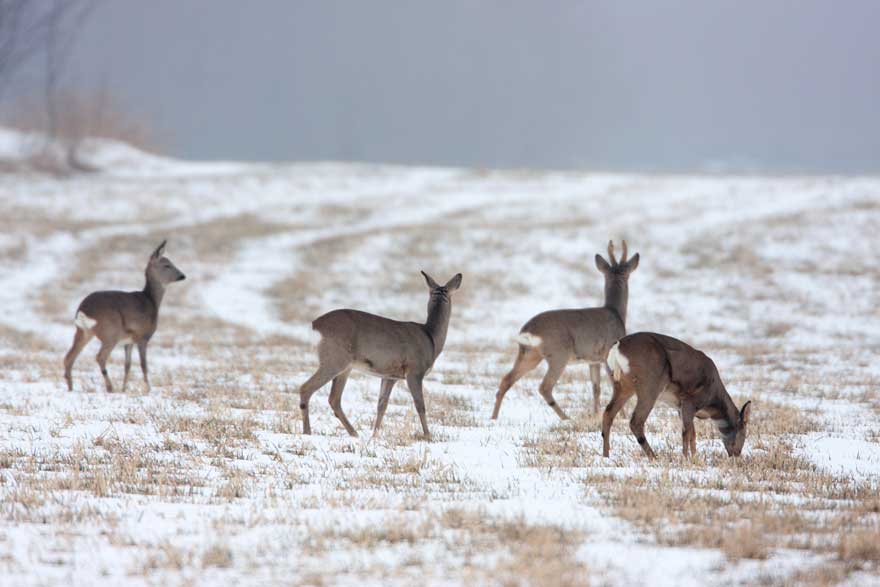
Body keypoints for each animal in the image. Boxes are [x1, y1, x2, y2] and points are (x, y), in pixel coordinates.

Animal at [62, 239, 187, 396]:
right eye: (167, 265)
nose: (182, 276)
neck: (151, 301)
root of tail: (83, 310)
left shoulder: (128, 341)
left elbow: (127, 365)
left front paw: (124, 389)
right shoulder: (142, 336)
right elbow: (143, 364)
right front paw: (148, 389)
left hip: (83, 331)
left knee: (68, 357)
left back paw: (71, 388)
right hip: (110, 331)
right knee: (100, 357)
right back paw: (109, 387)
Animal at [298, 270, 460, 436]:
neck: (431, 337)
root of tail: (315, 325)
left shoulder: (390, 376)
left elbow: (382, 405)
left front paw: (374, 436)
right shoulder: (415, 370)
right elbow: (420, 405)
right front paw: (428, 436)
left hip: (345, 366)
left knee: (334, 399)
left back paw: (354, 434)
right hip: (334, 359)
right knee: (306, 389)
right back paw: (307, 432)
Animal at [488, 241, 640, 420]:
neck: (615, 312)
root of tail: (527, 330)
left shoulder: (593, 359)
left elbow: (596, 387)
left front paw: (595, 414)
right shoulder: (609, 353)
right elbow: (614, 385)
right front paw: (621, 416)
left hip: (529, 354)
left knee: (506, 380)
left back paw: (493, 418)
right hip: (558, 354)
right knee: (544, 387)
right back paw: (566, 418)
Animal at [604, 330, 756, 460]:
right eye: (744, 433)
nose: (737, 454)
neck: (712, 404)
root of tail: (617, 347)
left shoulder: (680, 407)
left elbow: (692, 434)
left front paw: (694, 457)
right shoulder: (690, 401)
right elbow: (686, 432)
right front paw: (686, 458)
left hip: (622, 385)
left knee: (608, 413)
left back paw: (606, 455)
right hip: (649, 385)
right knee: (636, 421)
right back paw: (654, 457)